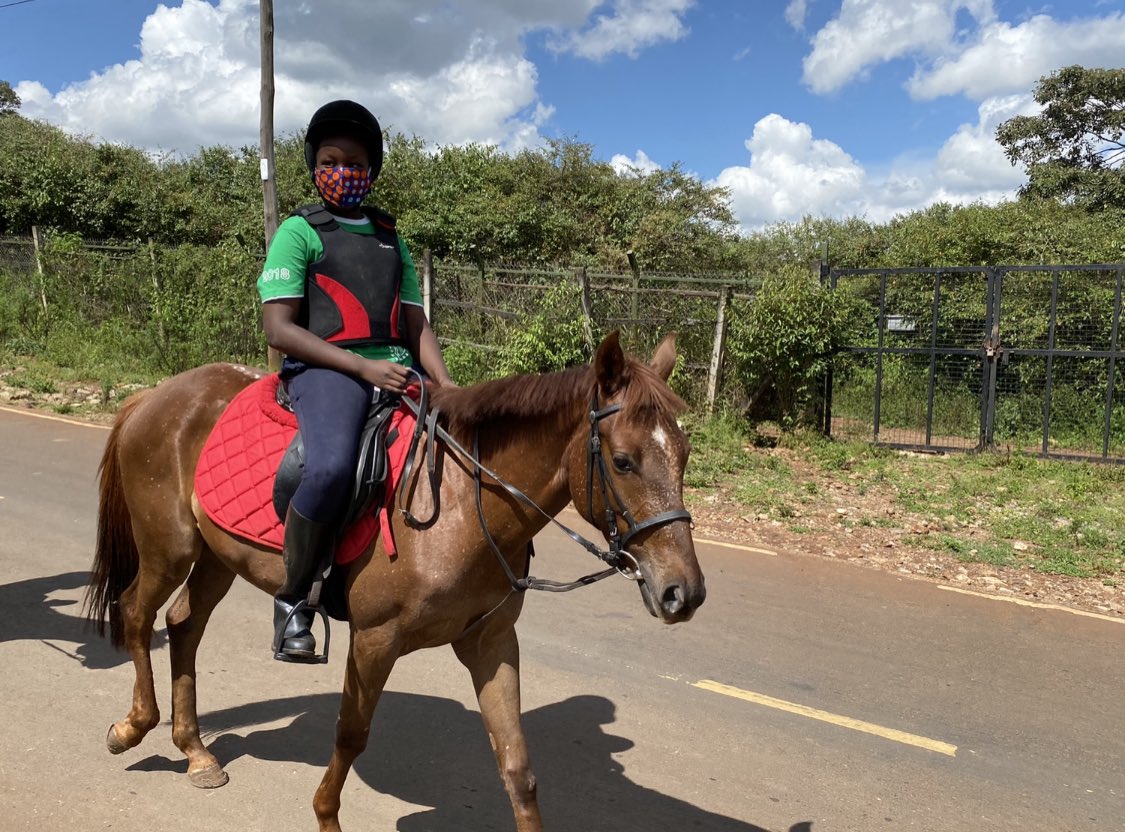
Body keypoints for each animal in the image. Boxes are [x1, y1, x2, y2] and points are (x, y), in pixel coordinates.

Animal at [84, 330, 706, 832]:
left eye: (684, 456)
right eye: (623, 461)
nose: (685, 592)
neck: (462, 505)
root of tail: (157, 395)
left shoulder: (491, 642)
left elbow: (517, 766)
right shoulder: (375, 640)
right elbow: (350, 735)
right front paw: (325, 816)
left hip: (217, 557)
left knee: (183, 624)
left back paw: (195, 751)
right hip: (169, 548)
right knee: (137, 613)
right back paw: (133, 727)